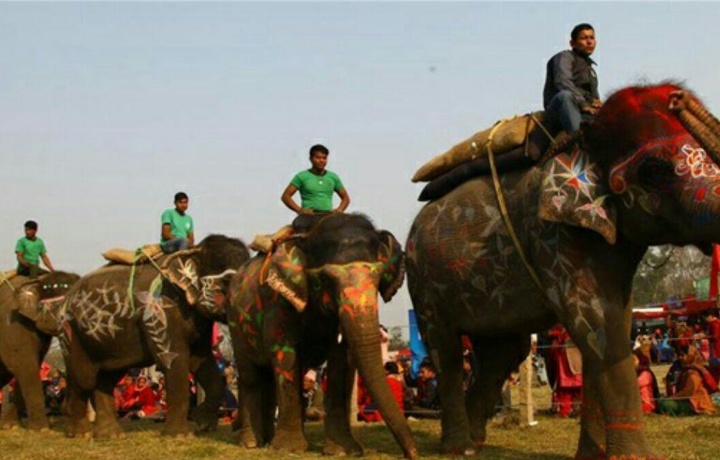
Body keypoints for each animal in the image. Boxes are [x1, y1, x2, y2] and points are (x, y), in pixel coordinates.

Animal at [0, 272, 79, 430]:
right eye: (59, 306)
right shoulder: (13, 327)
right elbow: (25, 366)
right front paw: (41, 429)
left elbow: (30, 367)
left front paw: (11, 426)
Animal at [60, 234, 250, 438]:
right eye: (228, 281)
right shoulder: (162, 312)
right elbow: (174, 361)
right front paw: (181, 437)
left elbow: (201, 361)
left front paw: (203, 425)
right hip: (71, 332)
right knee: (85, 378)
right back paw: (80, 434)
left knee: (106, 378)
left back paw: (111, 435)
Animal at [225, 214, 416, 458]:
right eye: (327, 280)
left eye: (379, 277)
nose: (412, 454)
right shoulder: (279, 303)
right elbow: (284, 355)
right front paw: (289, 448)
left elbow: (341, 360)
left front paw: (344, 450)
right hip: (236, 323)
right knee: (250, 375)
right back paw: (251, 443)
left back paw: (267, 440)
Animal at [404, 84, 720, 458]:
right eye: (654, 170)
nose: (677, 97)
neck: (583, 141)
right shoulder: (552, 236)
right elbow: (599, 325)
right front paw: (632, 457)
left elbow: (611, 322)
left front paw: (592, 456)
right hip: (424, 283)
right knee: (448, 352)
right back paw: (459, 448)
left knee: (502, 353)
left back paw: (476, 442)